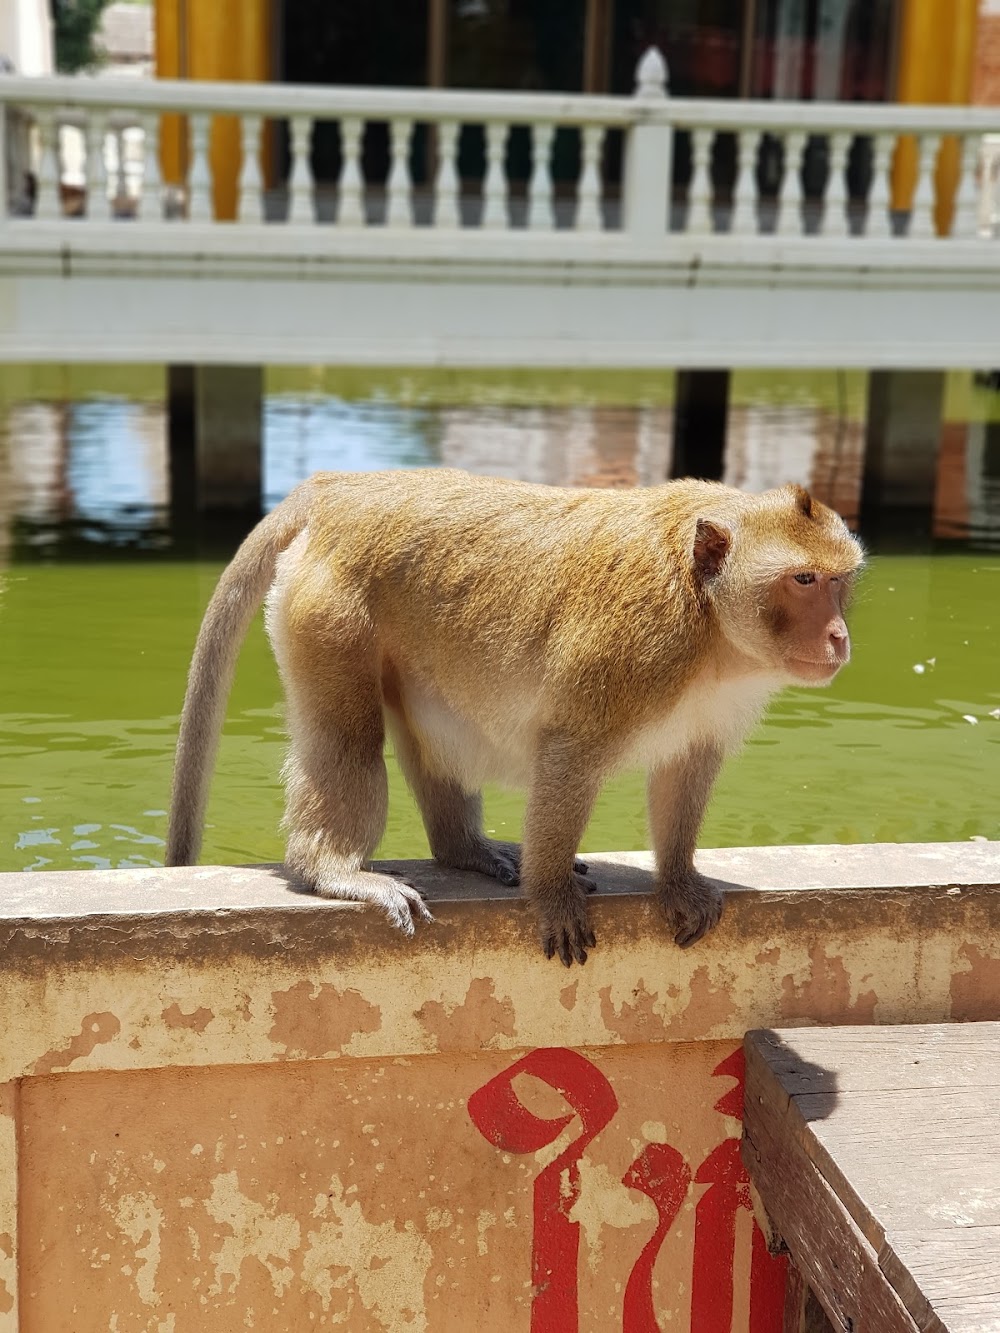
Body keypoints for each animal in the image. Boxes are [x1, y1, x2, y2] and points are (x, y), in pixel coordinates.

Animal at [168, 474, 864, 965]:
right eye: (804, 580)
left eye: (839, 581)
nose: (839, 637)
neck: (711, 622)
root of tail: (336, 485)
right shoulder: (635, 651)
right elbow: (571, 751)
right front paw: (551, 893)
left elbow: (687, 764)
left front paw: (678, 881)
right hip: (328, 614)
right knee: (349, 737)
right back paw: (334, 872)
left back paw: (463, 849)